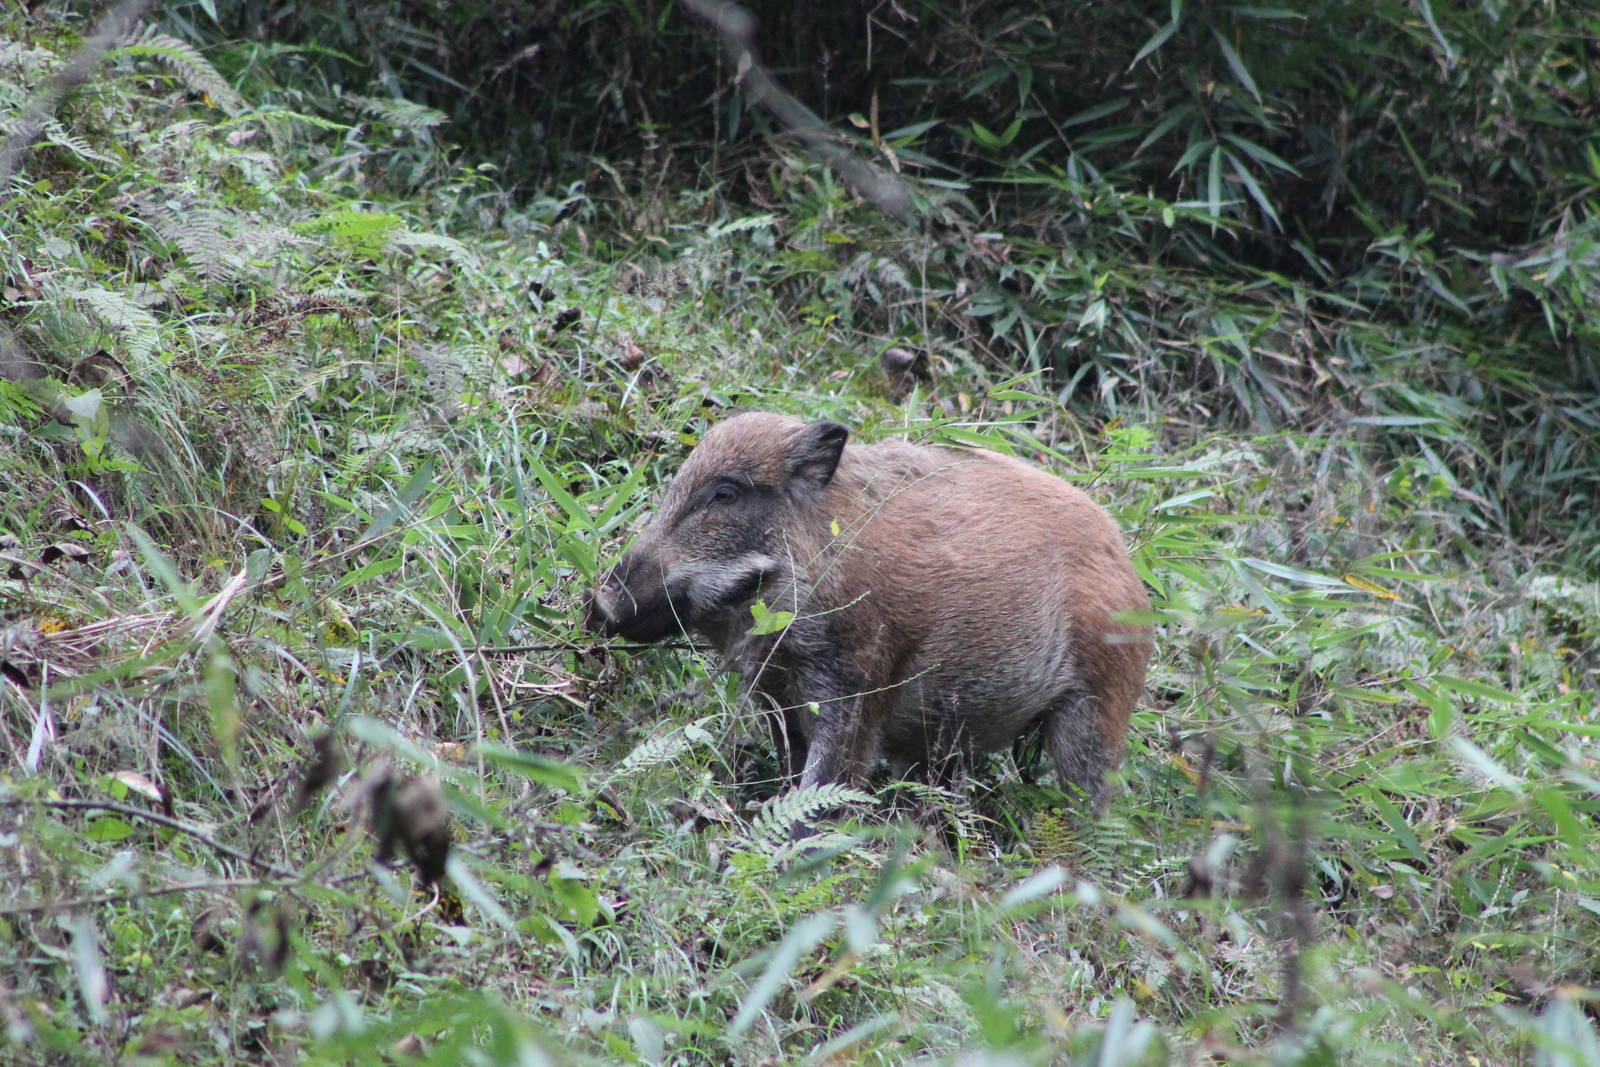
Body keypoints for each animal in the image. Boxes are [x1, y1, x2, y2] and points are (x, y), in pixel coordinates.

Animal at [586, 412, 1151, 818]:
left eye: (726, 493)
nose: (599, 603)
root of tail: (1125, 559)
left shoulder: (858, 683)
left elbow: (826, 783)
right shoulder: (777, 695)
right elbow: (792, 767)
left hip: (1097, 707)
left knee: (1091, 799)